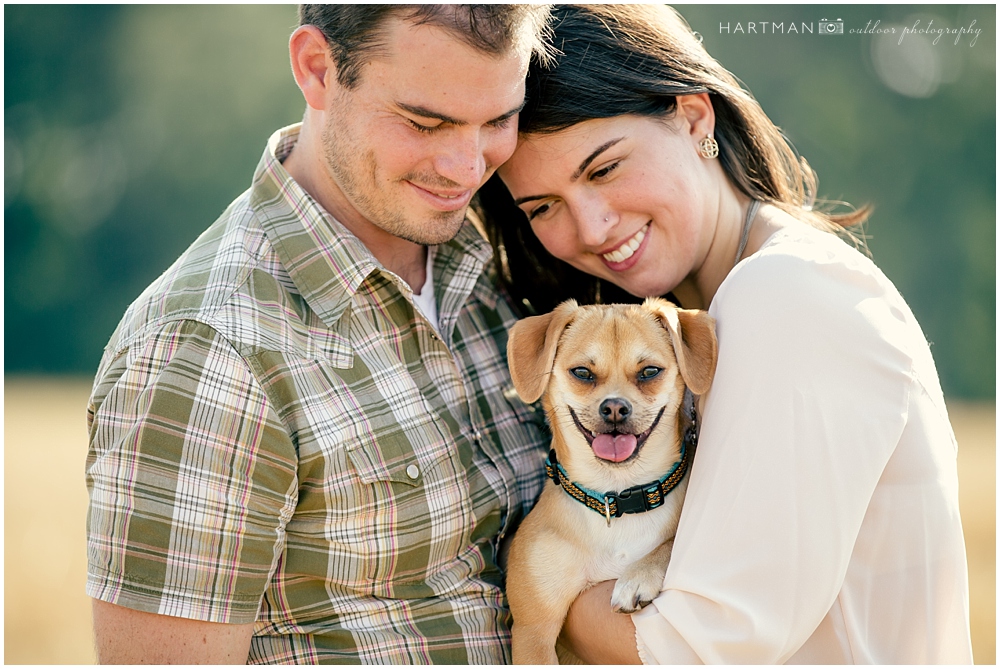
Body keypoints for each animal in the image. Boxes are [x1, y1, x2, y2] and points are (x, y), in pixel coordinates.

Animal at [504, 298, 716, 664]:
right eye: (582, 373)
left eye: (649, 372)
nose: (615, 407)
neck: (616, 497)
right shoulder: (533, 634)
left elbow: (670, 543)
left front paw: (637, 577)